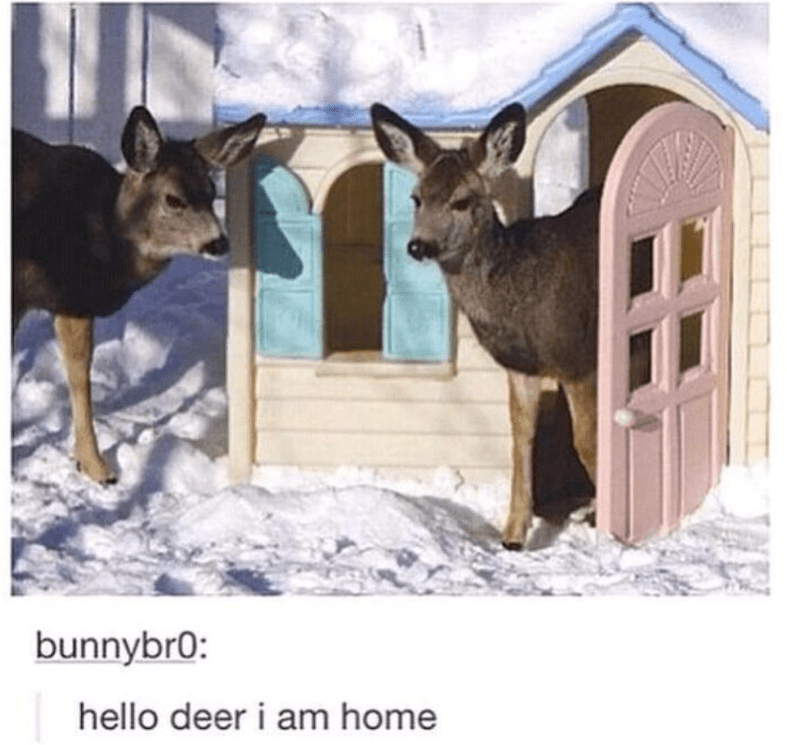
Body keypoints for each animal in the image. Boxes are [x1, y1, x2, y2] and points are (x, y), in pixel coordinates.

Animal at [12, 106, 266, 485]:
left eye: (211, 192)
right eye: (173, 199)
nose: (218, 242)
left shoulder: (69, 301)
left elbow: (78, 372)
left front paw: (87, 461)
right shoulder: (56, 295)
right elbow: (79, 376)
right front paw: (97, 467)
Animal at [371, 102, 599, 550]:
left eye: (461, 201)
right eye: (416, 198)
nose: (418, 245)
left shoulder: (576, 356)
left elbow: (586, 439)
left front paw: (613, 523)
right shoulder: (521, 367)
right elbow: (521, 437)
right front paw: (513, 534)